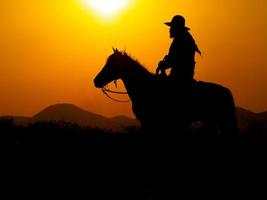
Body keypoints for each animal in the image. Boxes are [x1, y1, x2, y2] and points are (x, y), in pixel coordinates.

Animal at [94, 49, 239, 138]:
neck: (145, 87)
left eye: (111, 64)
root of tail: (225, 90)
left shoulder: (150, 122)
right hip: (210, 120)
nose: (96, 80)